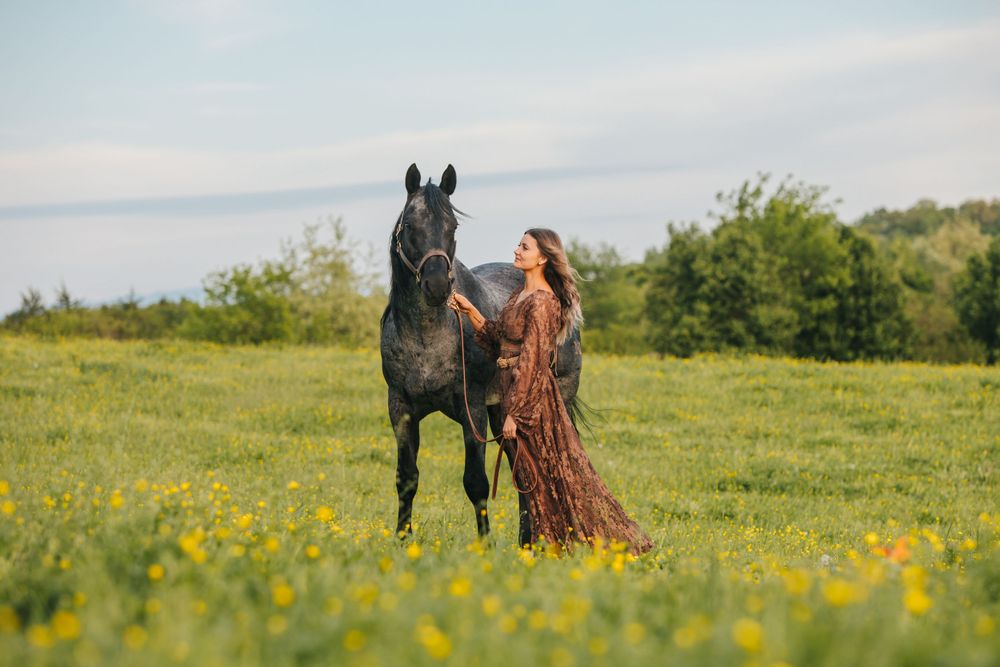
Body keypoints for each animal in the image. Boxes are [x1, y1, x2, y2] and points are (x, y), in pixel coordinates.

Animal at [379, 163, 583, 545]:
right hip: (502, 412)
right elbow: (406, 477)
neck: (427, 339)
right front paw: (401, 539)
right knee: (522, 470)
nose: (437, 286)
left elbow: (475, 481)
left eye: (453, 227)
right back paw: (526, 541)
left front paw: (484, 545)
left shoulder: (470, 407)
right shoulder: (400, 409)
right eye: (410, 225)